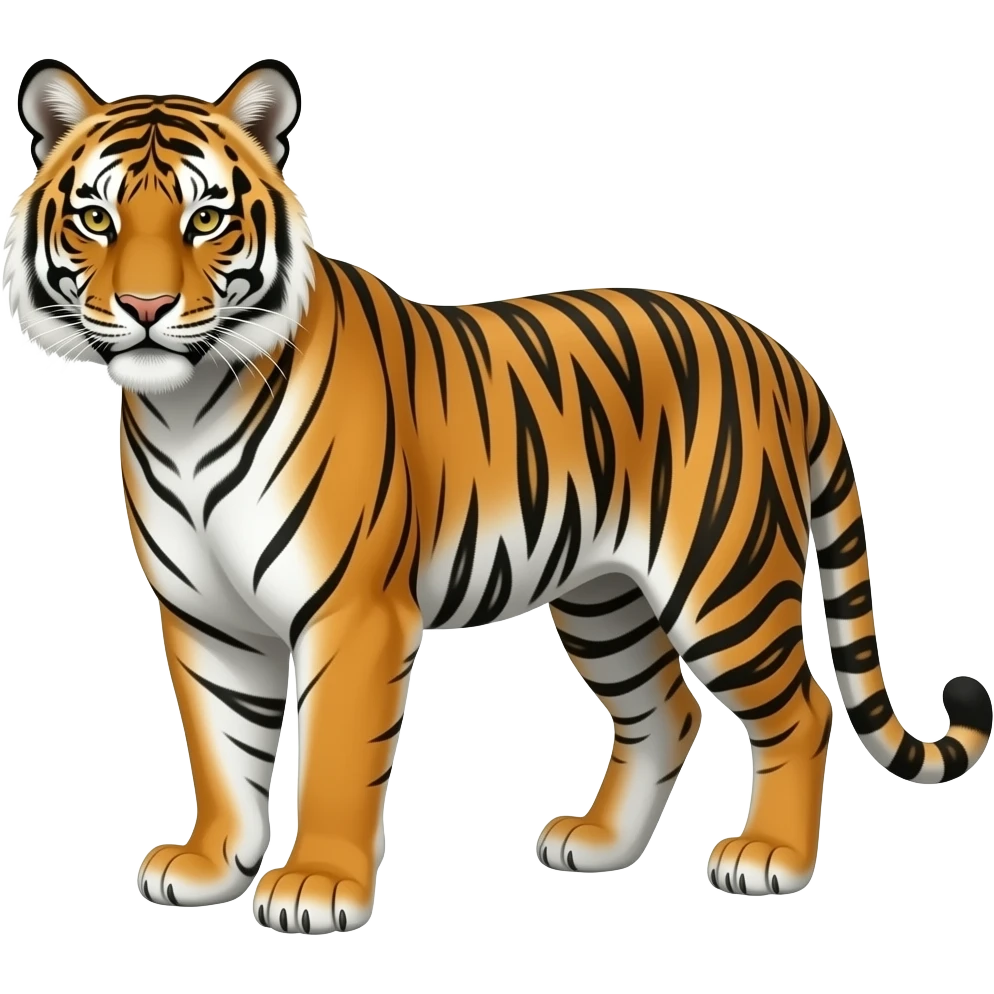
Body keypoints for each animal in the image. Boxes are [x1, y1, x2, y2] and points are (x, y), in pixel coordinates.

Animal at [5, 56, 991, 933]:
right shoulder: (205, 615)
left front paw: (317, 886)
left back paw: (770, 858)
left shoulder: (353, 612)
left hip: (725, 582)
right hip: (606, 598)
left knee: (802, 709)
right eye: (95, 217)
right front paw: (212, 866)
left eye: (206, 218)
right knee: (663, 711)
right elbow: (221, 748)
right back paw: (598, 844)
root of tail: (778, 352)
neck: (186, 409)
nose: (145, 308)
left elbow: (332, 758)